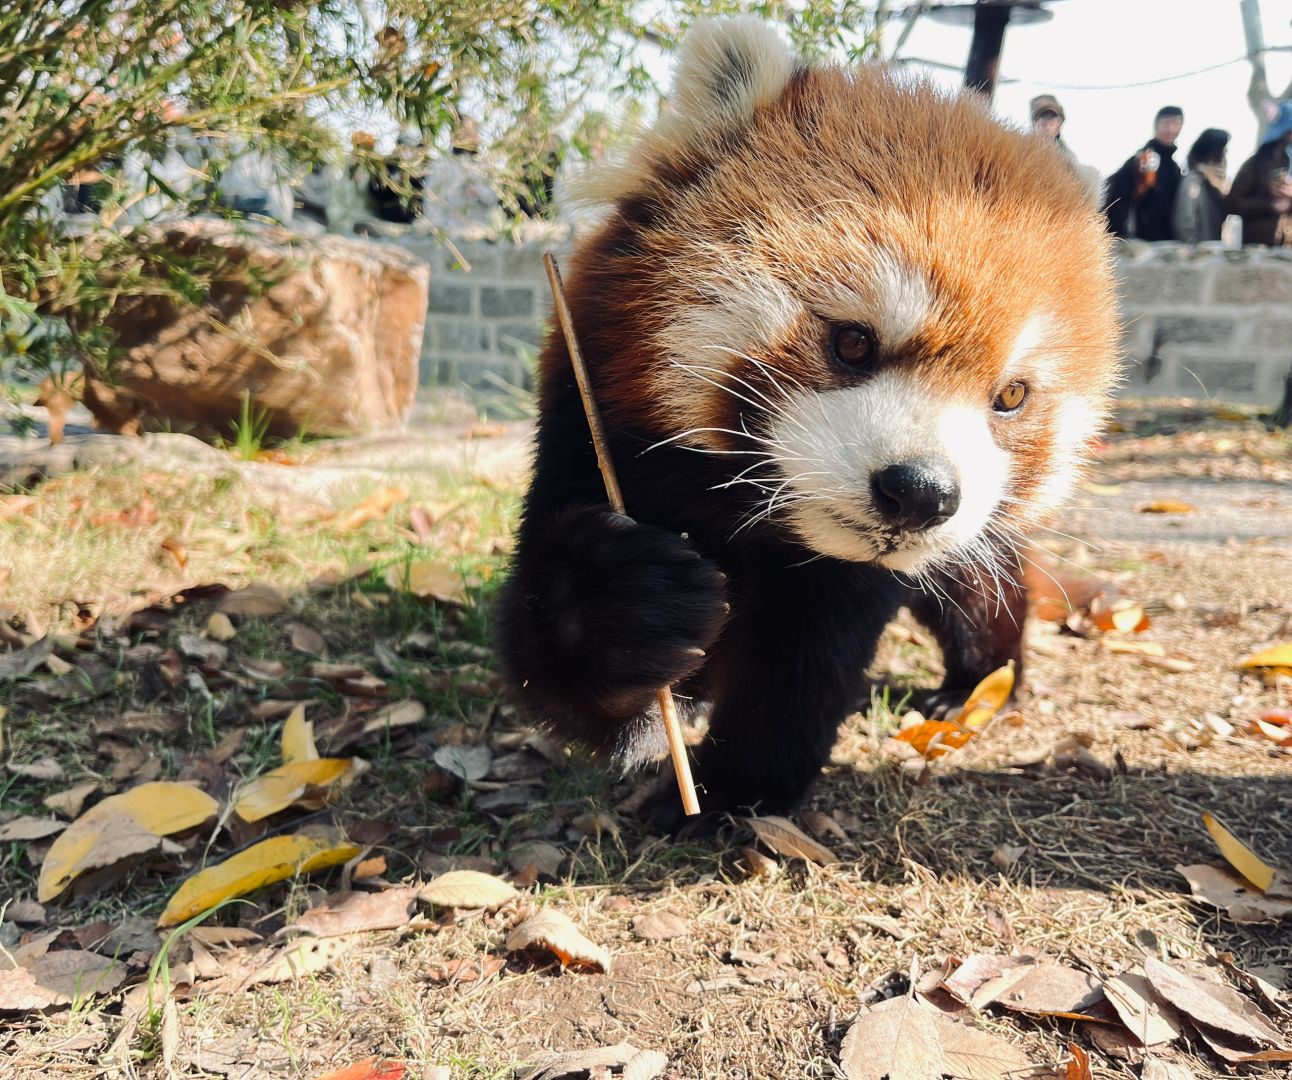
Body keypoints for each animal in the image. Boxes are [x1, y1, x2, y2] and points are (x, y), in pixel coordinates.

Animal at [498, 16, 1126, 831]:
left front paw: (735, 790)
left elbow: (807, 663)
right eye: (852, 342)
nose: (921, 493)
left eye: (1011, 396)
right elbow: (553, 658)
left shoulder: (851, 577)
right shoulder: (587, 419)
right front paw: (623, 607)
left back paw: (980, 682)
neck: (748, 516)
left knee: (977, 592)